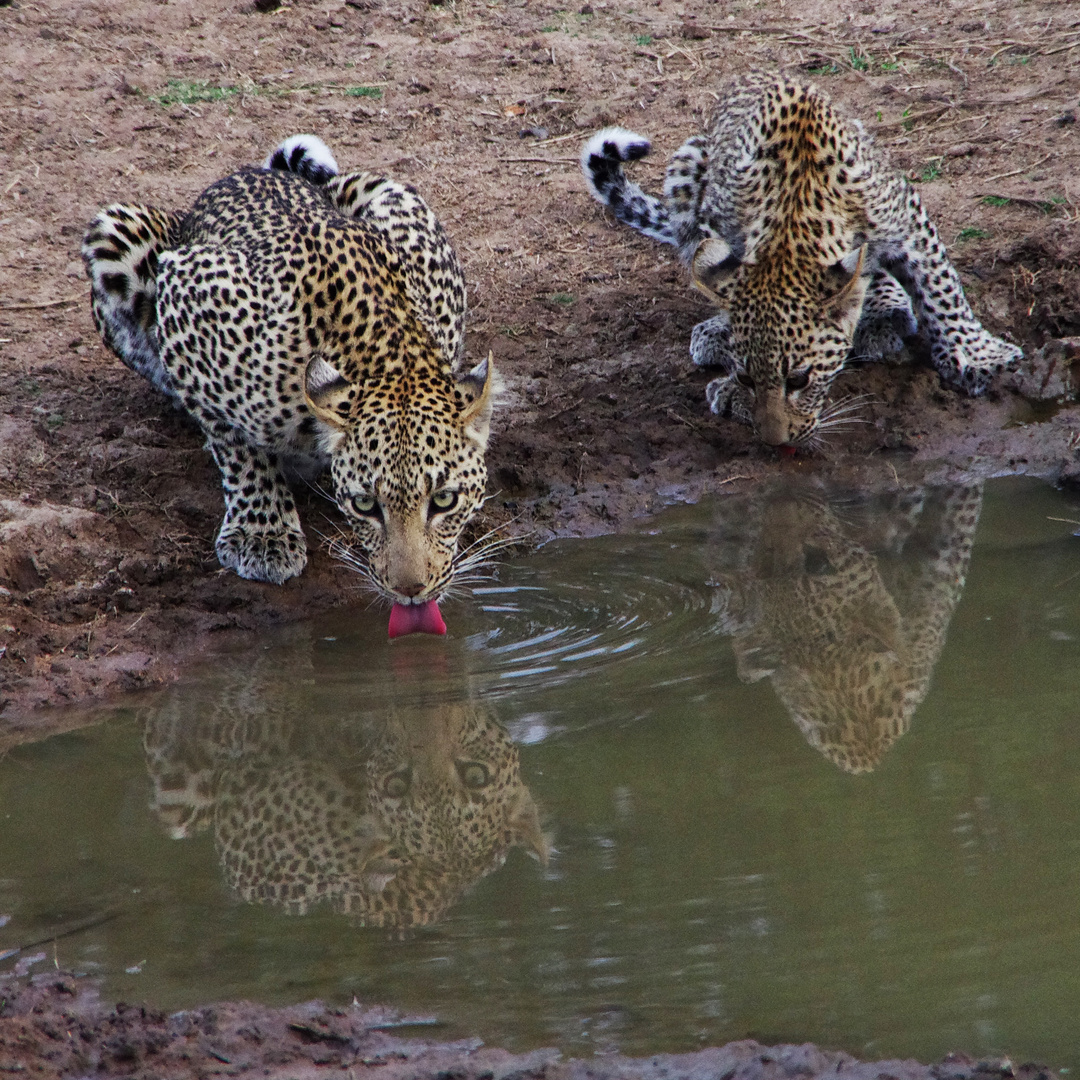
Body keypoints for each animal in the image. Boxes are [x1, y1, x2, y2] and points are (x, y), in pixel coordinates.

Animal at [583, 71, 1019, 449]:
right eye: (747, 378)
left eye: (799, 380)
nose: (775, 441)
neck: (796, 209)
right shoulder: (720, 226)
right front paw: (730, 381)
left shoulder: (905, 215)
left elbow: (941, 288)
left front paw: (978, 356)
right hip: (687, 161)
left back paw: (884, 312)